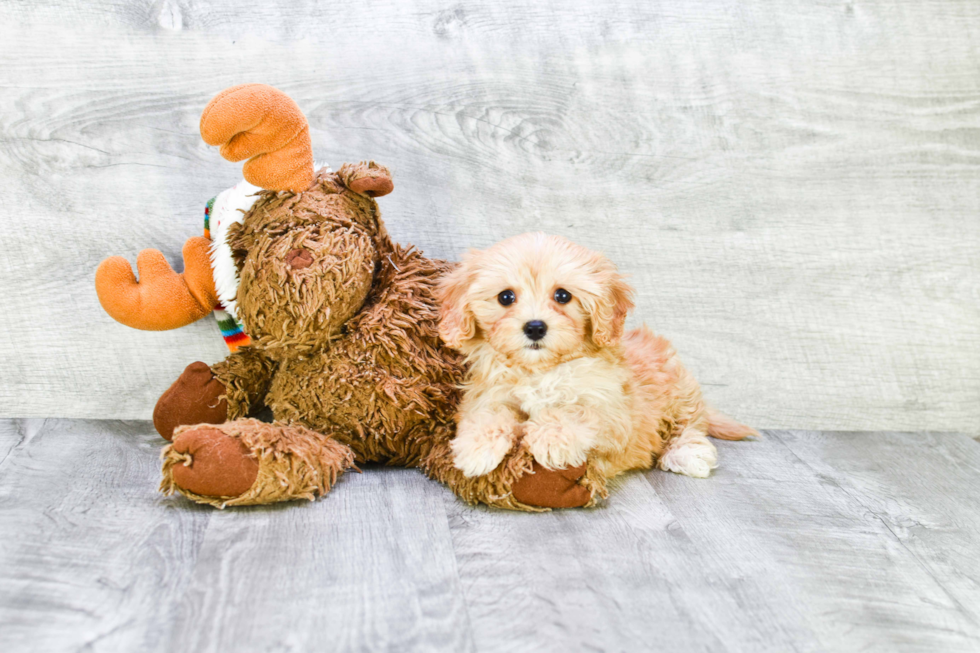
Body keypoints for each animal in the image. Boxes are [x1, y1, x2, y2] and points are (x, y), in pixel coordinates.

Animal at [438, 234, 756, 484]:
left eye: (563, 295)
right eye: (505, 297)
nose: (535, 327)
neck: (541, 371)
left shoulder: (615, 413)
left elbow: (576, 411)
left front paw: (551, 438)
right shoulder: (488, 393)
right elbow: (488, 414)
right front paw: (476, 446)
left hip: (681, 392)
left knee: (689, 426)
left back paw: (687, 453)